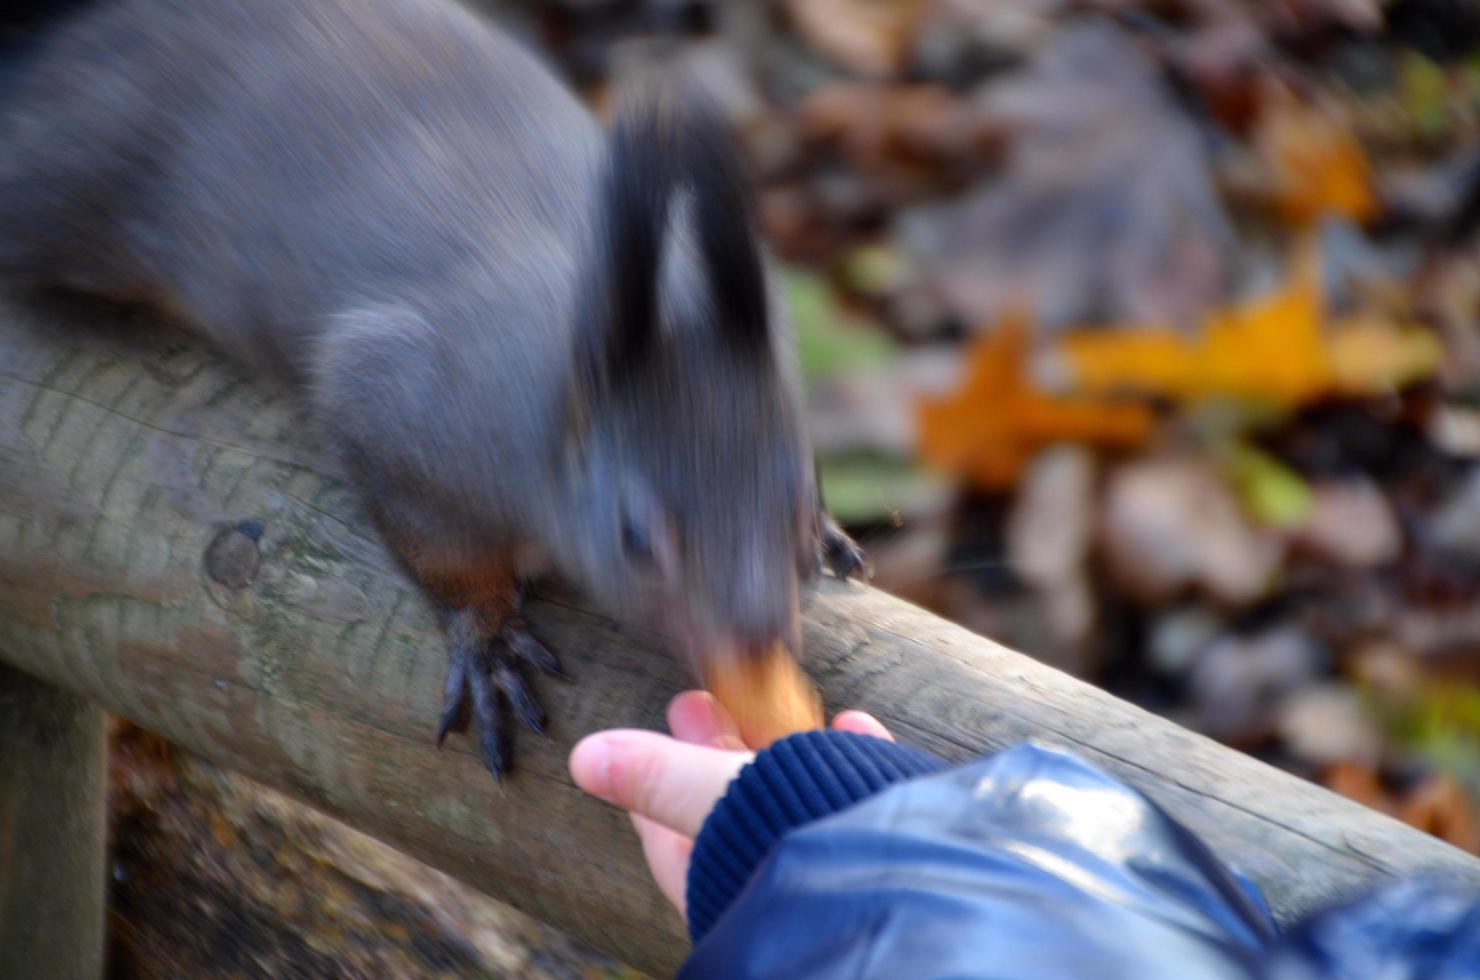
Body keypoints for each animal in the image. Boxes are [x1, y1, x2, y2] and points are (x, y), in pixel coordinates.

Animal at [0, 0, 864, 781]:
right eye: (636, 539)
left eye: (793, 503)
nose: (757, 637)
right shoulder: (402, 410)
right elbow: (438, 548)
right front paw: (486, 639)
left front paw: (830, 535)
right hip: (66, 178)